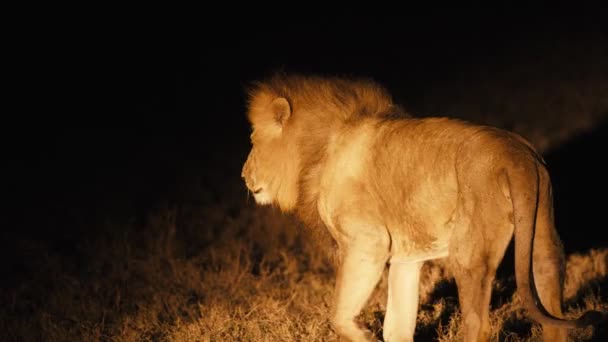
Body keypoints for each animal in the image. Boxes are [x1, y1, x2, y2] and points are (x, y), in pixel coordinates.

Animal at [240, 73, 600, 340]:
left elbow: (340, 314)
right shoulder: (406, 257)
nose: (244, 176)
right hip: (542, 234)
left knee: (478, 324)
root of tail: (515, 157)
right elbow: (396, 328)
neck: (319, 148)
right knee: (551, 298)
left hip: (469, 252)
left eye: (254, 142)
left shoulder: (368, 242)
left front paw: (361, 334)